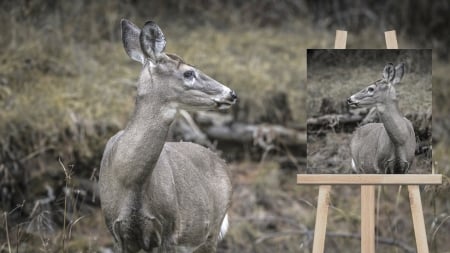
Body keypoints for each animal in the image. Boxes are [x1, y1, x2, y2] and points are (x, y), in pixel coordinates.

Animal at [99, 19, 239, 253]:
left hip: (211, 230)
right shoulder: (116, 232)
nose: (231, 93)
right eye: (188, 73)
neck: (129, 182)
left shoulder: (169, 230)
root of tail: (222, 162)